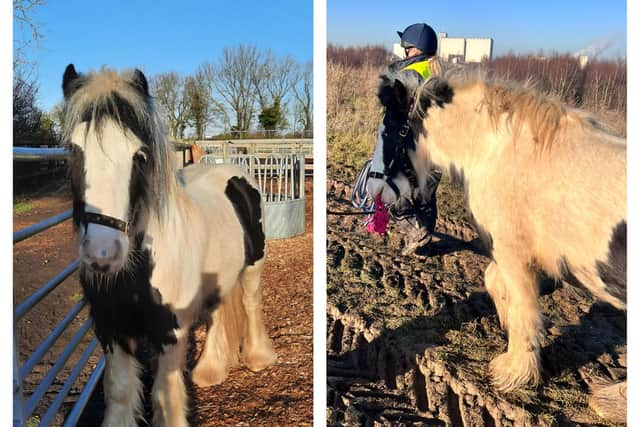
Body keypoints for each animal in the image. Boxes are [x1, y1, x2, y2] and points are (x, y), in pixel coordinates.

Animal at [380, 69, 624, 422]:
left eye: (389, 131)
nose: (387, 198)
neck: (498, 151)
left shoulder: (513, 252)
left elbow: (523, 307)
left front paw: (514, 371)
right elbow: (495, 282)